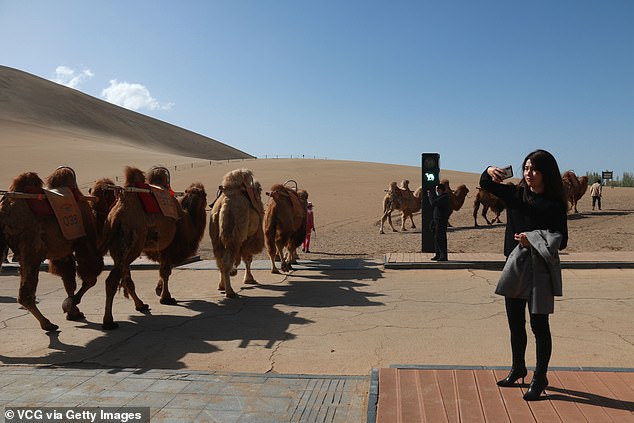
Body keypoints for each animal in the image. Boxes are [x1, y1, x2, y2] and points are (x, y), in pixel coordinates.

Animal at [0, 168, 108, 332]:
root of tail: (5, 210)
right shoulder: (85, 241)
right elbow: (90, 279)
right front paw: (71, 304)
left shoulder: (63, 252)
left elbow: (69, 280)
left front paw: (73, 311)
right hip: (31, 248)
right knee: (26, 293)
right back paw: (47, 324)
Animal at [100, 167, 206, 330]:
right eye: (205, 195)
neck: (187, 219)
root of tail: (117, 216)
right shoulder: (170, 246)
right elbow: (166, 271)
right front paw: (166, 298)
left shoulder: (161, 248)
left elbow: (162, 271)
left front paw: (158, 290)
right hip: (132, 244)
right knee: (113, 280)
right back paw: (109, 322)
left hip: (118, 247)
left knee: (126, 277)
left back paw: (141, 305)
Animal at [210, 168, 264, 298]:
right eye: (259, 190)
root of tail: (224, 205)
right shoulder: (248, 237)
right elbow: (248, 258)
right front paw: (249, 279)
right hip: (234, 235)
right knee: (226, 260)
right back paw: (230, 292)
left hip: (216, 235)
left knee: (219, 260)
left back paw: (222, 286)